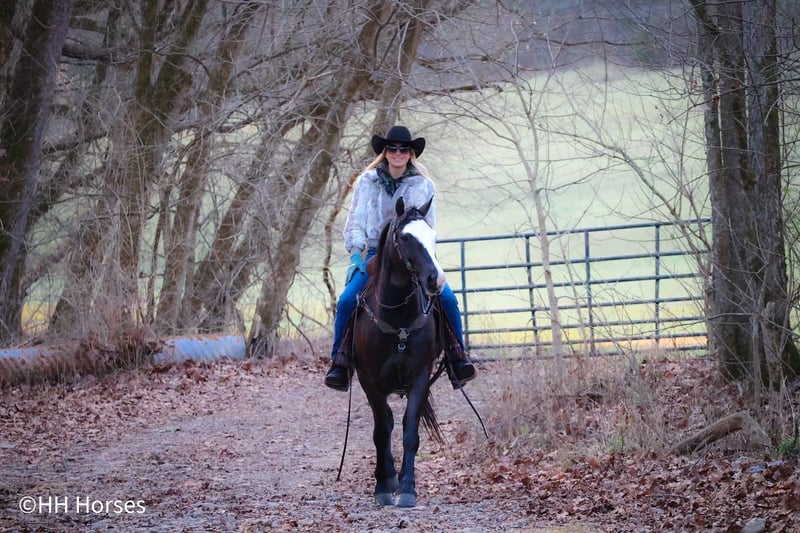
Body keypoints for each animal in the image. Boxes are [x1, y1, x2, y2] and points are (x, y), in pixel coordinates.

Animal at [350, 195, 446, 508]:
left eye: (433, 236)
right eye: (405, 237)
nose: (436, 280)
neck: (398, 319)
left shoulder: (420, 378)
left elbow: (410, 432)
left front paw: (407, 488)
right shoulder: (370, 382)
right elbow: (382, 432)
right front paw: (383, 487)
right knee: (387, 423)